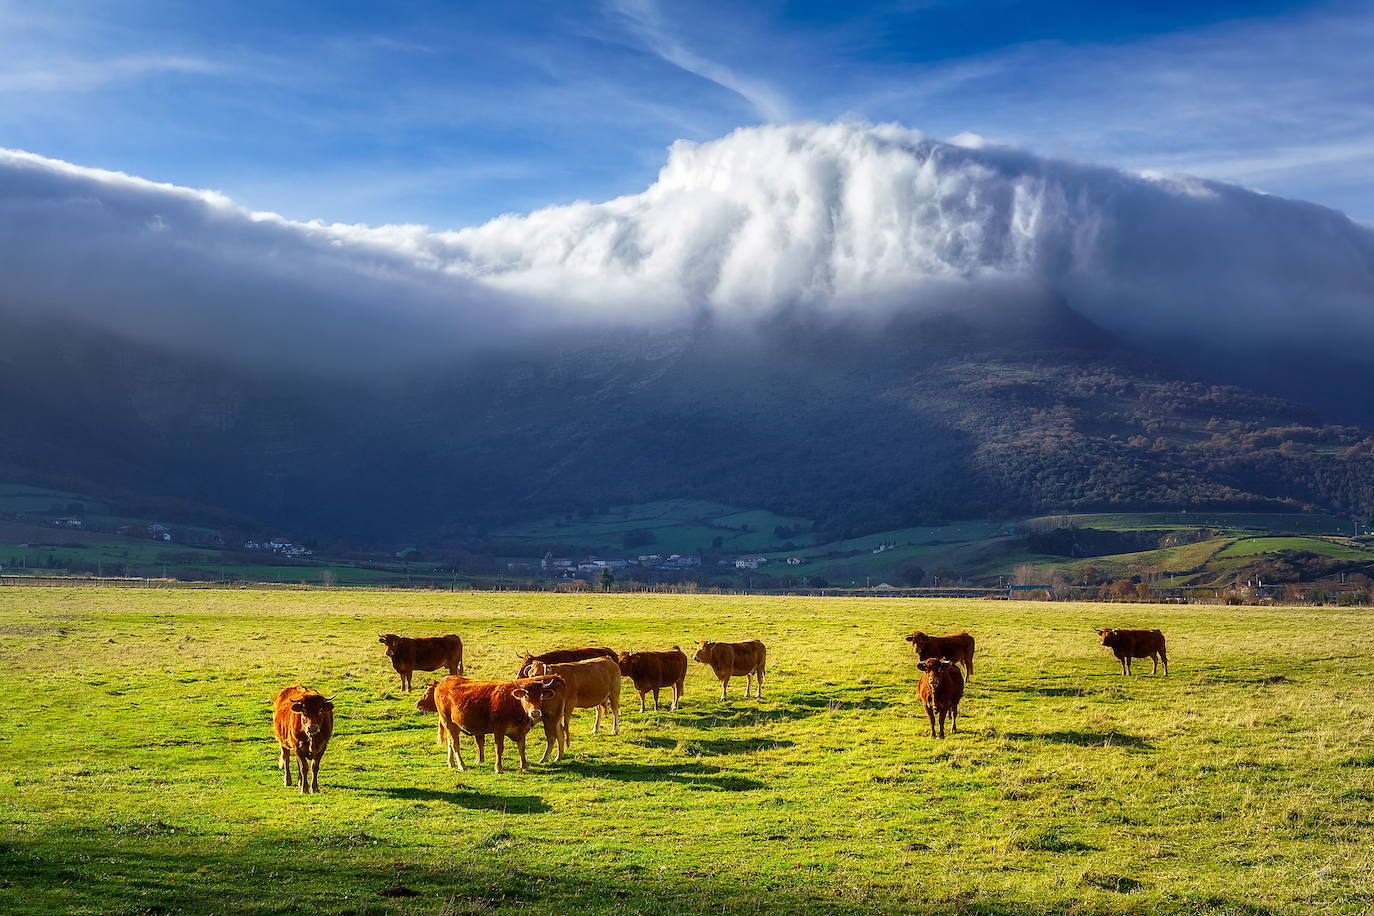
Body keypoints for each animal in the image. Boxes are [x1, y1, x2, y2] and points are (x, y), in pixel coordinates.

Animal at [417, 672, 568, 774]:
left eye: (541, 696)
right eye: (526, 695)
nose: (535, 713)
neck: (514, 702)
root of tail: (445, 681)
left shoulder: (522, 730)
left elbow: (522, 748)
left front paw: (525, 766)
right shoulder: (498, 730)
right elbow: (498, 748)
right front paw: (498, 768)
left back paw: (451, 763)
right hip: (448, 722)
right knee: (454, 744)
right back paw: (461, 765)